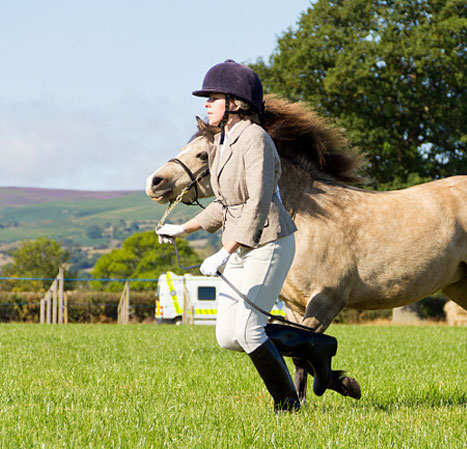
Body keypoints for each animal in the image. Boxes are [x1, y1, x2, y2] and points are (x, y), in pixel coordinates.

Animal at [146, 94, 467, 402]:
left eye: (202, 154)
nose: (155, 182)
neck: (306, 217)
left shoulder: (325, 300)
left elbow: (306, 353)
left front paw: (334, 388)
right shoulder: (293, 305)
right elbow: (296, 351)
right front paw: (324, 391)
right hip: (457, 286)